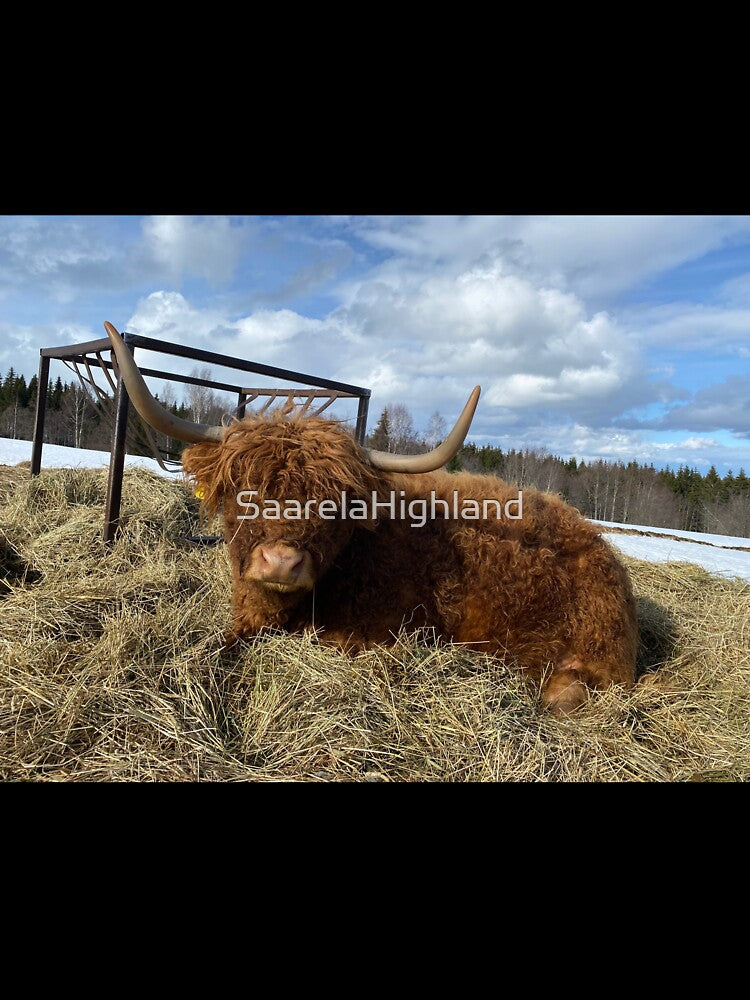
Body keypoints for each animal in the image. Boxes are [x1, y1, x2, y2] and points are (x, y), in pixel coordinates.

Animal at [104, 322, 638, 714]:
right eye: (245, 491)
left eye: (335, 503)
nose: (281, 563)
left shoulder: (381, 631)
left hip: (587, 651)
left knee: (570, 692)